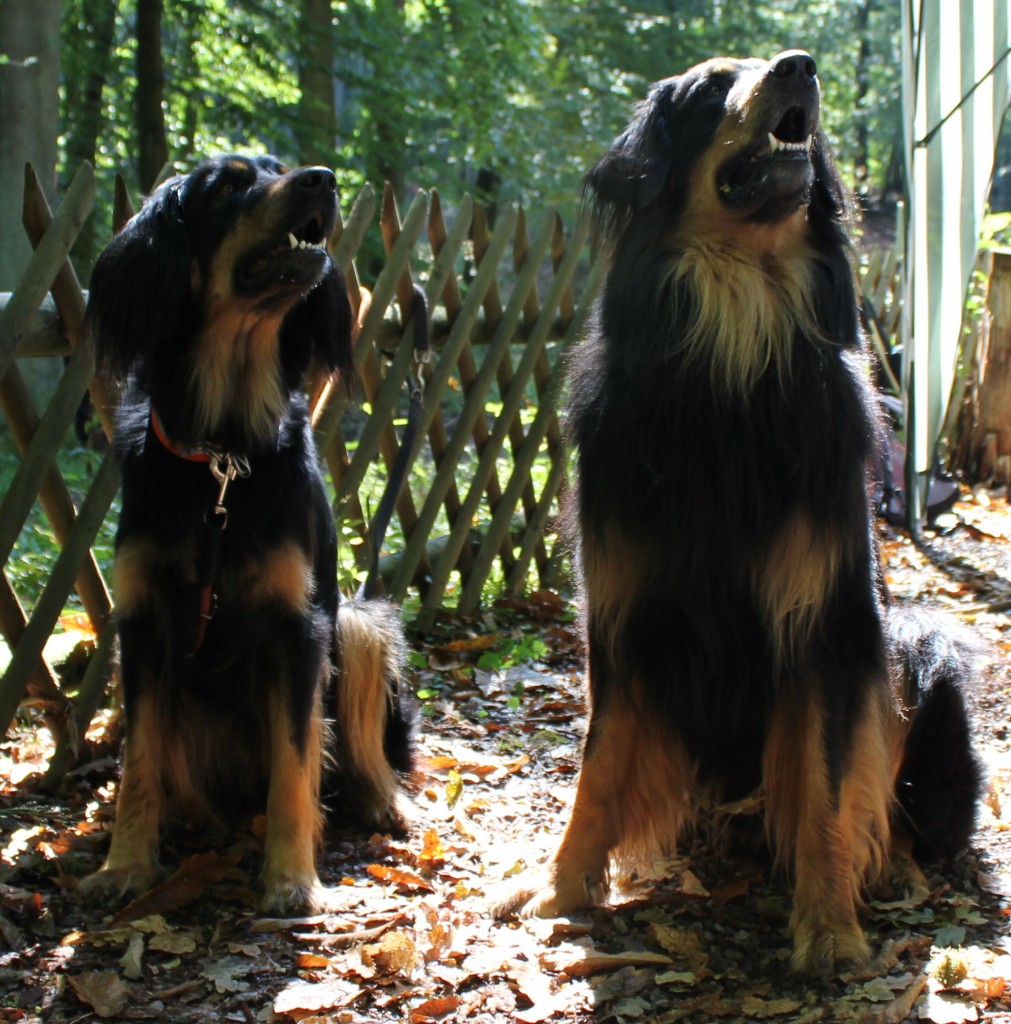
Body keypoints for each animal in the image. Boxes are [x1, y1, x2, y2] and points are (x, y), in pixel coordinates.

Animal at [78, 153, 411, 913]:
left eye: (277, 169)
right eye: (228, 186)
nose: (322, 178)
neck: (223, 455)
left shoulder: (298, 626)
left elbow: (294, 760)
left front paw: (290, 877)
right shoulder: (143, 623)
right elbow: (138, 759)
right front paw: (125, 865)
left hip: (358, 622)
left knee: (359, 751)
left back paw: (383, 803)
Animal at [501, 54, 983, 974]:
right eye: (708, 88)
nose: (801, 67)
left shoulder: (824, 620)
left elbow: (827, 785)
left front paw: (827, 928)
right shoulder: (622, 615)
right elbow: (598, 765)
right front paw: (561, 888)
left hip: (916, 644)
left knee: (904, 816)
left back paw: (892, 870)